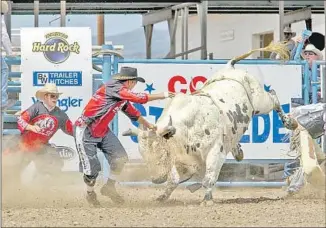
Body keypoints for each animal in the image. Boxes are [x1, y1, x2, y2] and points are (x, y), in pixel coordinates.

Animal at [121, 44, 292, 203]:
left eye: (162, 151)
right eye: (142, 153)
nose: (156, 179)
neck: (187, 127)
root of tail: (230, 67)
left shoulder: (215, 151)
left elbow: (208, 178)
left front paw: (207, 199)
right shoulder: (181, 159)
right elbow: (174, 180)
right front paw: (162, 197)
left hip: (260, 103)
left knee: (273, 97)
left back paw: (290, 122)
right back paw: (238, 151)